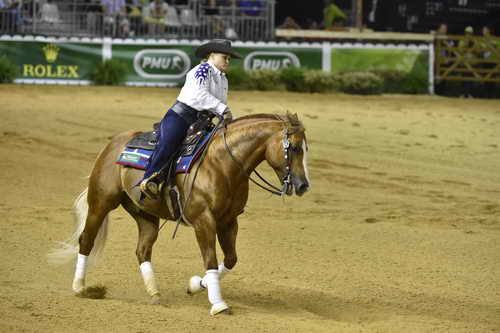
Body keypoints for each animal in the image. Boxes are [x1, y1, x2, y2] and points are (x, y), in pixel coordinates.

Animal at [48, 111, 310, 314]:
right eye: (295, 148)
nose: (303, 186)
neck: (222, 163)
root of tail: (113, 144)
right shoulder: (204, 220)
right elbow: (210, 259)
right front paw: (218, 304)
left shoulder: (229, 221)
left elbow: (230, 259)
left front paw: (196, 285)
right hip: (101, 202)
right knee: (86, 240)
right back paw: (80, 288)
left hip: (145, 214)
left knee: (142, 250)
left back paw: (154, 293)